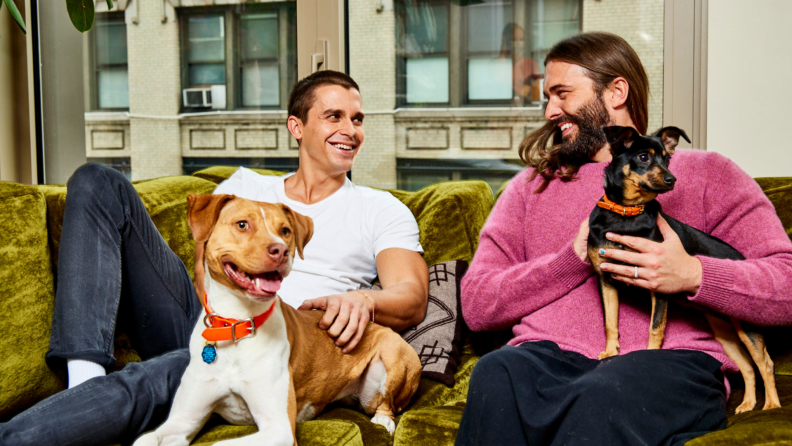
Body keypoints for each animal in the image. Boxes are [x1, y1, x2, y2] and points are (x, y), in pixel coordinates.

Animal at [133, 195, 424, 446]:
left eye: (285, 230)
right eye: (242, 224)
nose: (280, 250)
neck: (237, 324)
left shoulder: (279, 429)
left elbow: (218, 444)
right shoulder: (183, 421)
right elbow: (145, 439)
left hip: (392, 356)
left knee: (387, 405)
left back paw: (383, 422)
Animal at [588, 124, 780, 412]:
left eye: (667, 159)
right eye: (643, 157)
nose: (672, 179)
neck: (624, 214)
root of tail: (741, 259)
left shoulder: (658, 285)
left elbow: (655, 327)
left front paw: (649, 355)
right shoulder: (606, 278)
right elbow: (610, 321)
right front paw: (611, 351)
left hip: (746, 326)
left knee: (764, 363)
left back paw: (771, 406)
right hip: (723, 331)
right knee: (746, 366)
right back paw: (747, 404)